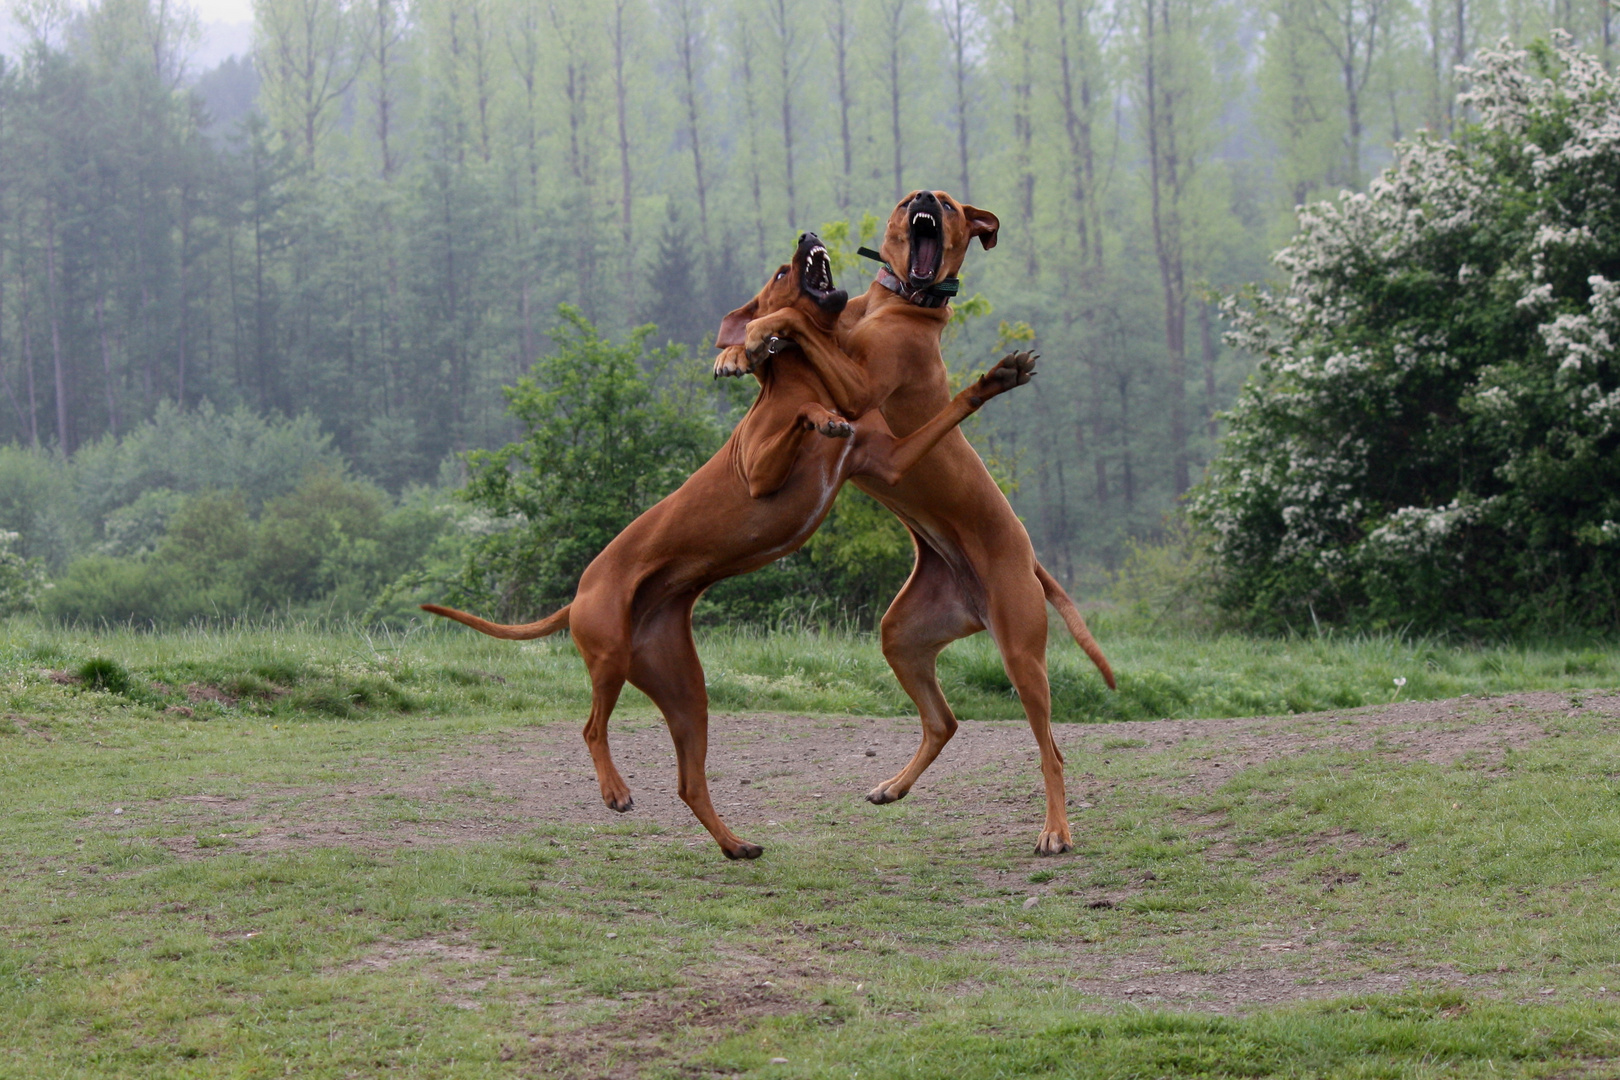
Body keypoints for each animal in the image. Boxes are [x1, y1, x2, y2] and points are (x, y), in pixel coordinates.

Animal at [424, 234, 1036, 861]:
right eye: (781, 270)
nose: (808, 236)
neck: (807, 378)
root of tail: (579, 594)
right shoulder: (760, 471)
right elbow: (801, 417)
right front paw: (812, 408)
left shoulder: (885, 461)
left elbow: (944, 412)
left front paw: (995, 380)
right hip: (609, 652)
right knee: (592, 727)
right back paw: (616, 791)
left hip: (683, 688)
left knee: (688, 780)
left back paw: (735, 844)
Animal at [735, 190, 1114, 854]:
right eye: (910, 198)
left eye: (954, 208)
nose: (927, 199)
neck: (894, 303)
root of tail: (1028, 557)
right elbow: (792, 325)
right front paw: (744, 344)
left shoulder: (862, 393)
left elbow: (801, 327)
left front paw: (759, 334)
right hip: (903, 633)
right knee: (944, 720)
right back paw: (893, 786)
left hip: (1022, 651)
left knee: (1052, 750)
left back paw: (1055, 829)